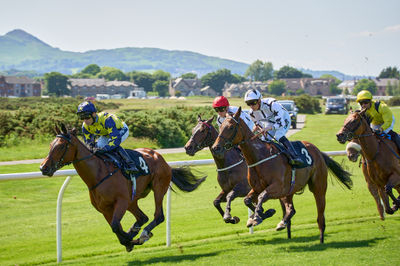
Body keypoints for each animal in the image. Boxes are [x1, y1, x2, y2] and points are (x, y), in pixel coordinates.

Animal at [39, 123, 206, 252]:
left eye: (61, 146)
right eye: (50, 145)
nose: (43, 167)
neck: (98, 174)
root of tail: (161, 158)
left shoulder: (121, 202)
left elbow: (115, 227)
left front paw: (132, 239)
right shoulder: (105, 209)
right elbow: (116, 227)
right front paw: (129, 240)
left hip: (157, 188)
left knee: (158, 216)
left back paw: (144, 233)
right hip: (132, 199)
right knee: (142, 217)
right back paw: (136, 233)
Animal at [211, 106, 352, 243]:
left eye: (230, 127)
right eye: (220, 127)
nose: (215, 147)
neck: (259, 157)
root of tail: (318, 151)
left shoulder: (277, 187)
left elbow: (261, 197)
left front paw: (258, 216)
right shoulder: (255, 188)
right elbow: (247, 200)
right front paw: (259, 214)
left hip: (318, 188)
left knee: (320, 216)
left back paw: (321, 239)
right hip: (290, 190)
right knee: (291, 209)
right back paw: (283, 222)